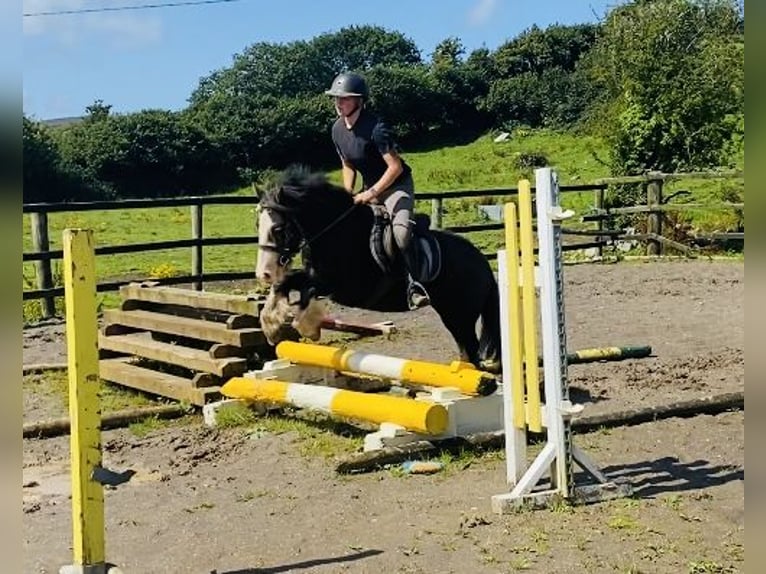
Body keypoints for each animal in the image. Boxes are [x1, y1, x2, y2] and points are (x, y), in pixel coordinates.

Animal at [255, 169, 500, 372]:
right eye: (258, 225)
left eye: (278, 229)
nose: (263, 274)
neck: (335, 232)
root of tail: (481, 262)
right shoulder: (317, 277)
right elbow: (286, 284)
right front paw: (271, 326)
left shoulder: (343, 287)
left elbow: (306, 292)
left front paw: (305, 326)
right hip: (452, 314)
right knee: (466, 350)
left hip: (461, 315)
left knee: (471, 348)